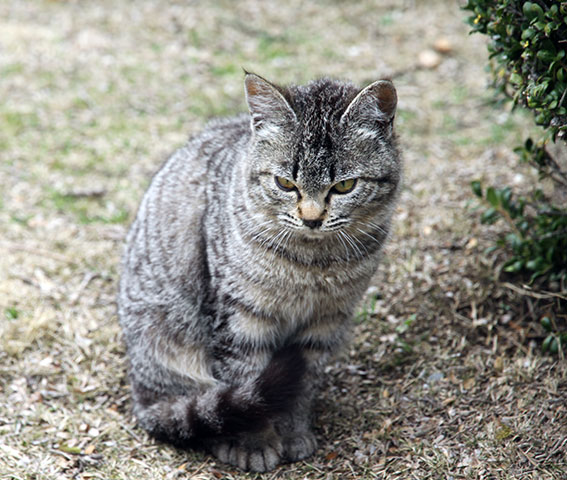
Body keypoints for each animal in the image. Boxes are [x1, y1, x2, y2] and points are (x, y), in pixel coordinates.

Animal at [117, 72, 402, 472]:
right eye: (285, 183)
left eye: (345, 186)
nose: (311, 219)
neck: (312, 264)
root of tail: (141, 395)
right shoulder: (240, 320)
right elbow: (245, 383)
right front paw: (254, 443)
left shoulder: (324, 323)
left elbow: (300, 386)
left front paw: (293, 432)